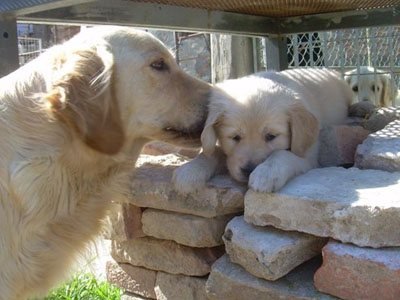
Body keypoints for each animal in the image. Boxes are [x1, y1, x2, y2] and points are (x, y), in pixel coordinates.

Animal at [173, 68, 352, 192]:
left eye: (271, 136)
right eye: (235, 137)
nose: (249, 170)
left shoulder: (308, 156)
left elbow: (282, 154)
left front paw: (265, 174)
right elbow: (212, 153)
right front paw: (190, 170)